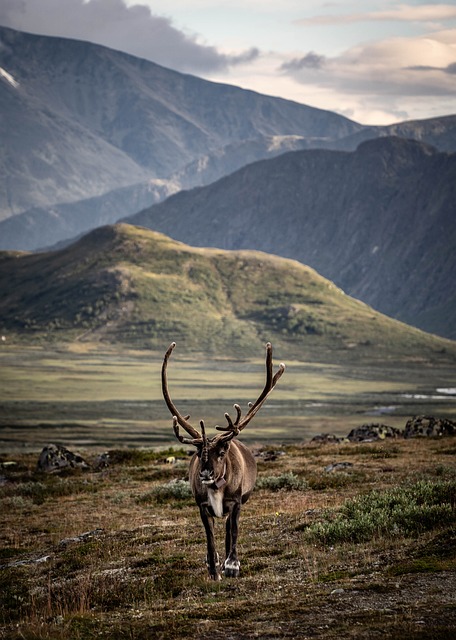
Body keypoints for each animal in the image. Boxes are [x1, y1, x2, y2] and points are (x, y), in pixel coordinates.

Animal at [161, 341, 285, 580]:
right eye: (198, 452)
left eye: (221, 452)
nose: (205, 473)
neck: (217, 487)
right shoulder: (202, 506)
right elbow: (209, 539)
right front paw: (213, 569)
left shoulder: (236, 502)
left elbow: (234, 531)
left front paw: (232, 565)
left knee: (229, 531)